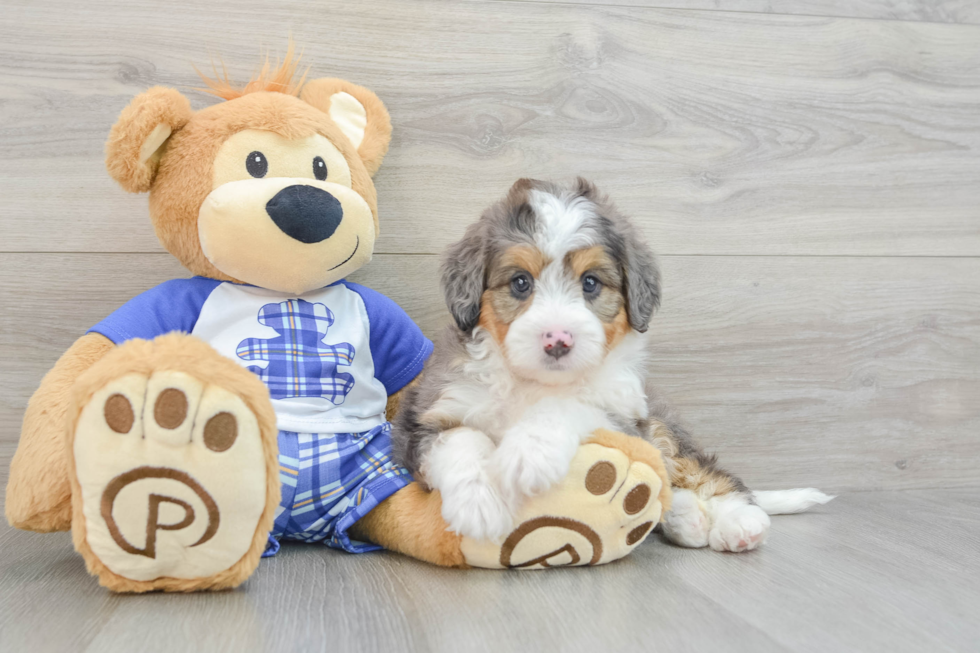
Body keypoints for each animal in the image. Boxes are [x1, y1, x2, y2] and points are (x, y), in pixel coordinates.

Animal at [386, 178, 832, 552]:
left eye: (590, 283)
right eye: (520, 283)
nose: (558, 340)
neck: (534, 382)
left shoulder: (625, 417)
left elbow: (571, 405)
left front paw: (529, 452)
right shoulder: (425, 414)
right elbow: (460, 438)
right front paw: (479, 503)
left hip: (662, 428)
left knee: (706, 474)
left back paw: (738, 522)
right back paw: (685, 518)